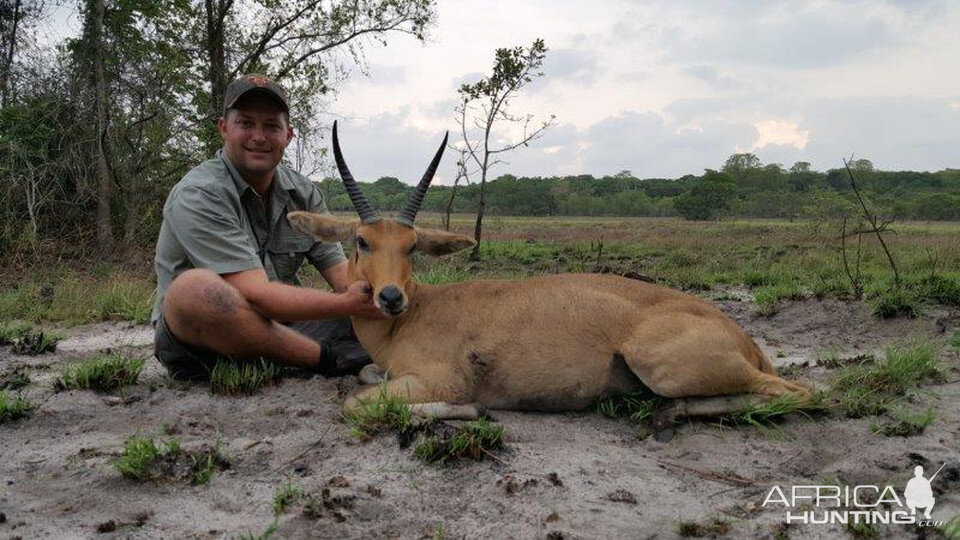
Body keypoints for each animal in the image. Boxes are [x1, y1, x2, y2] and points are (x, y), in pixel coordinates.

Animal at [288, 122, 812, 426]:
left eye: (412, 246)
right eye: (362, 241)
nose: (391, 297)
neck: (410, 319)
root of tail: (743, 338)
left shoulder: (437, 380)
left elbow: (355, 404)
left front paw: (474, 409)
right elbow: (365, 376)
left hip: (666, 367)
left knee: (798, 392)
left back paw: (668, 414)